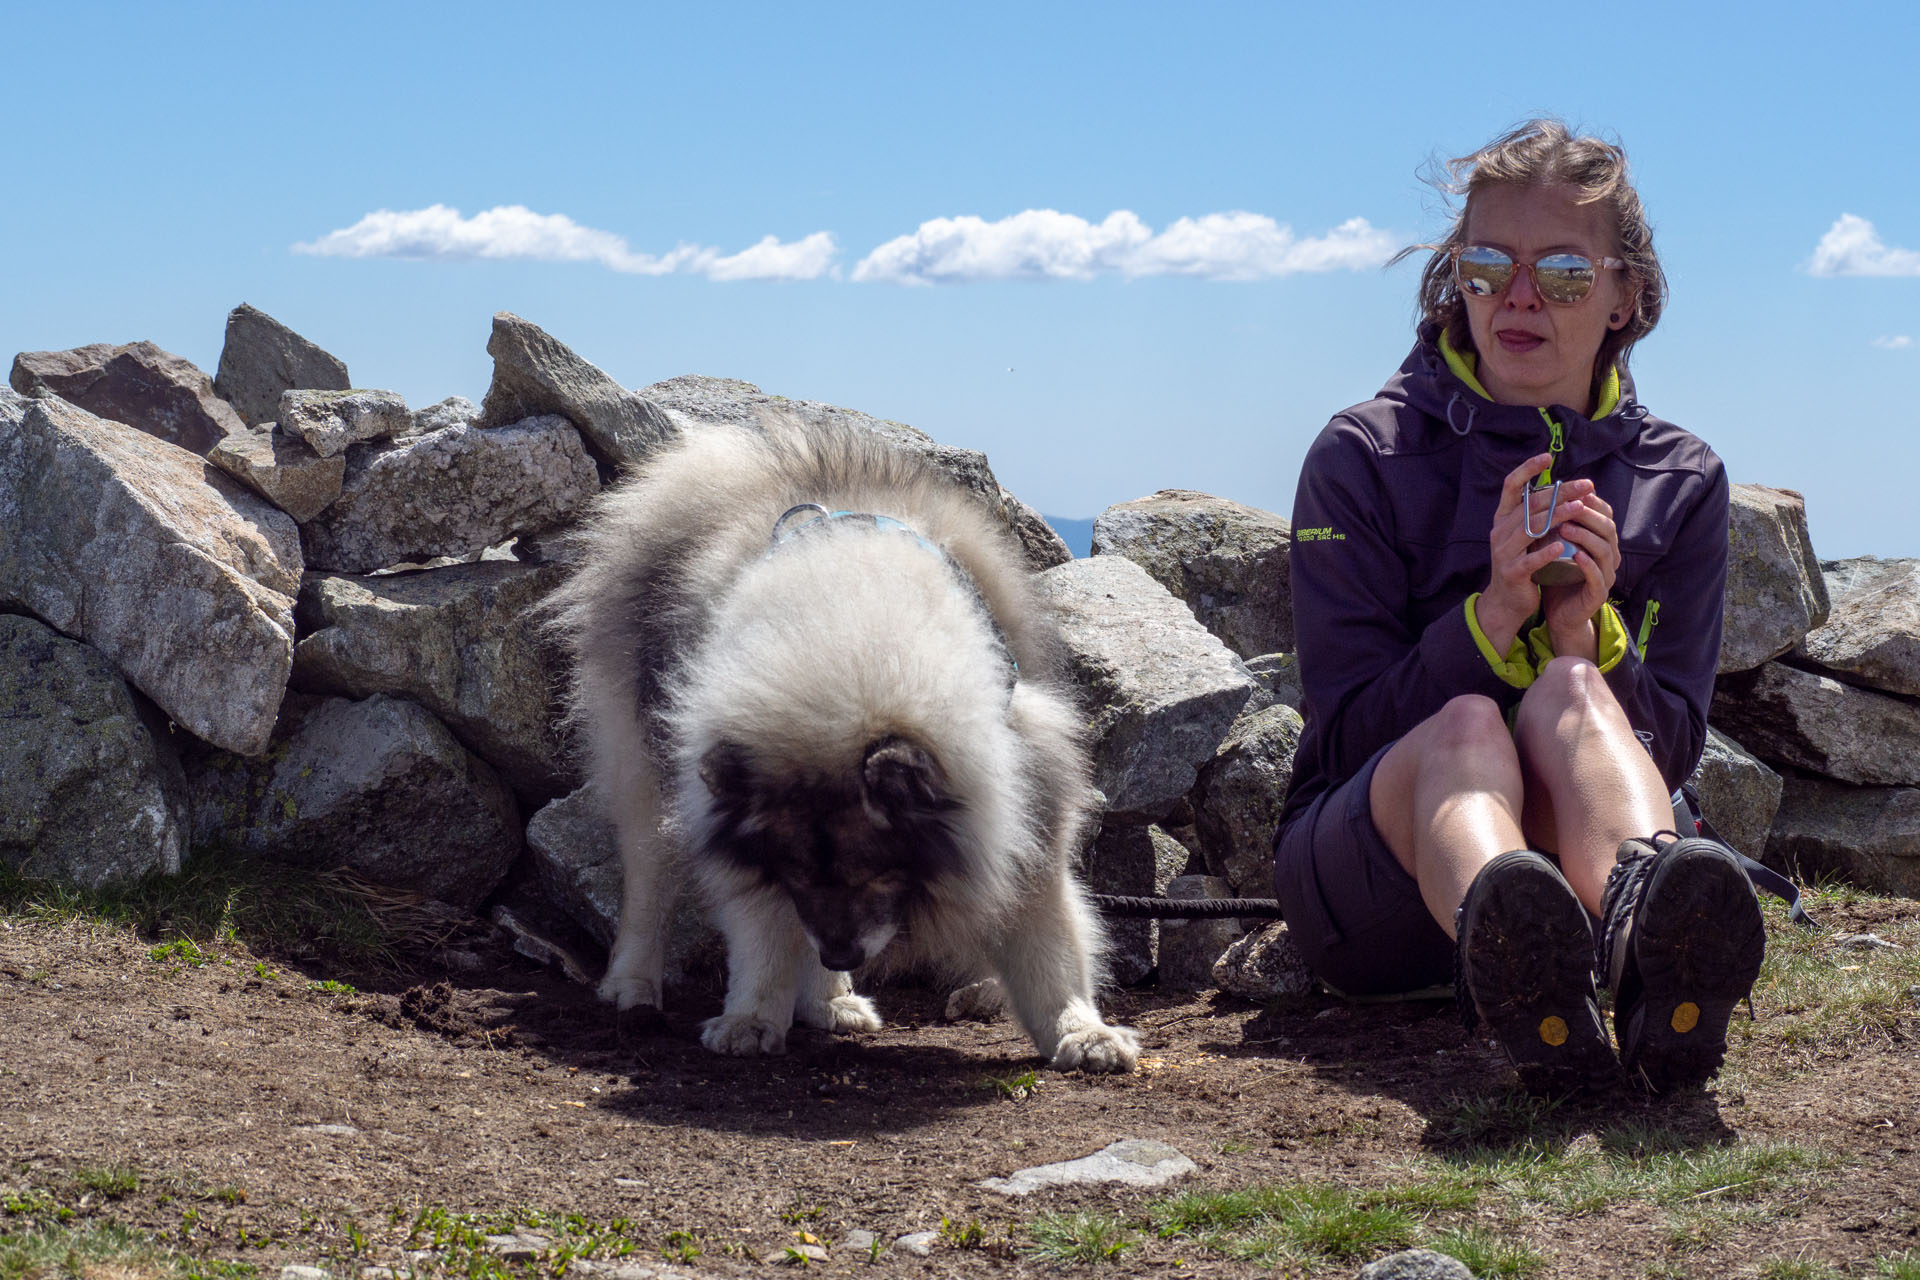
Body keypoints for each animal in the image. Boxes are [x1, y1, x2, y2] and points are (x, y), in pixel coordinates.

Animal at [545, 418, 1136, 1074]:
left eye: (878, 873)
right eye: (795, 871)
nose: (840, 956)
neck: (849, 668)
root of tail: (716, 468)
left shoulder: (1029, 814)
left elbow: (1048, 948)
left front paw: (1080, 1031)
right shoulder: (745, 843)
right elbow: (765, 935)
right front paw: (750, 1018)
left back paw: (831, 1001)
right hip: (644, 767)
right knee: (650, 880)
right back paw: (635, 984)